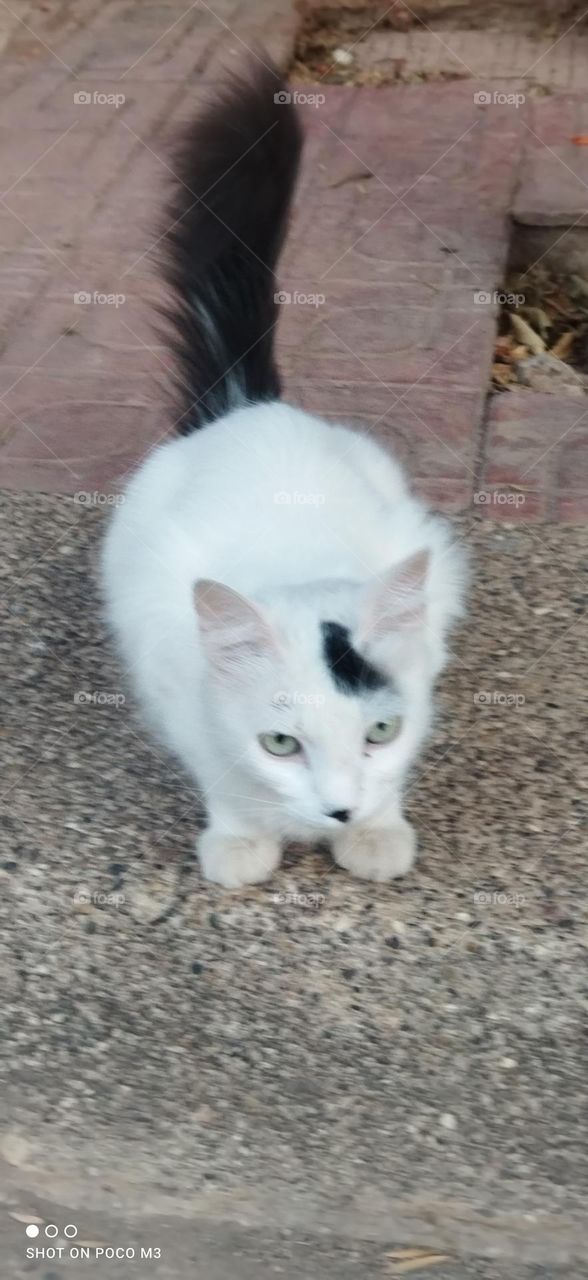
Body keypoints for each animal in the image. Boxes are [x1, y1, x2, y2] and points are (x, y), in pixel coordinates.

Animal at [102, 55, 468, 885]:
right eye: (281, 744)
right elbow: (219, 770)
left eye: (379, 732)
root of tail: (252, 406)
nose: (339, 810)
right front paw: (242, 841)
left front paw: (377, 831)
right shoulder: (175, 684)